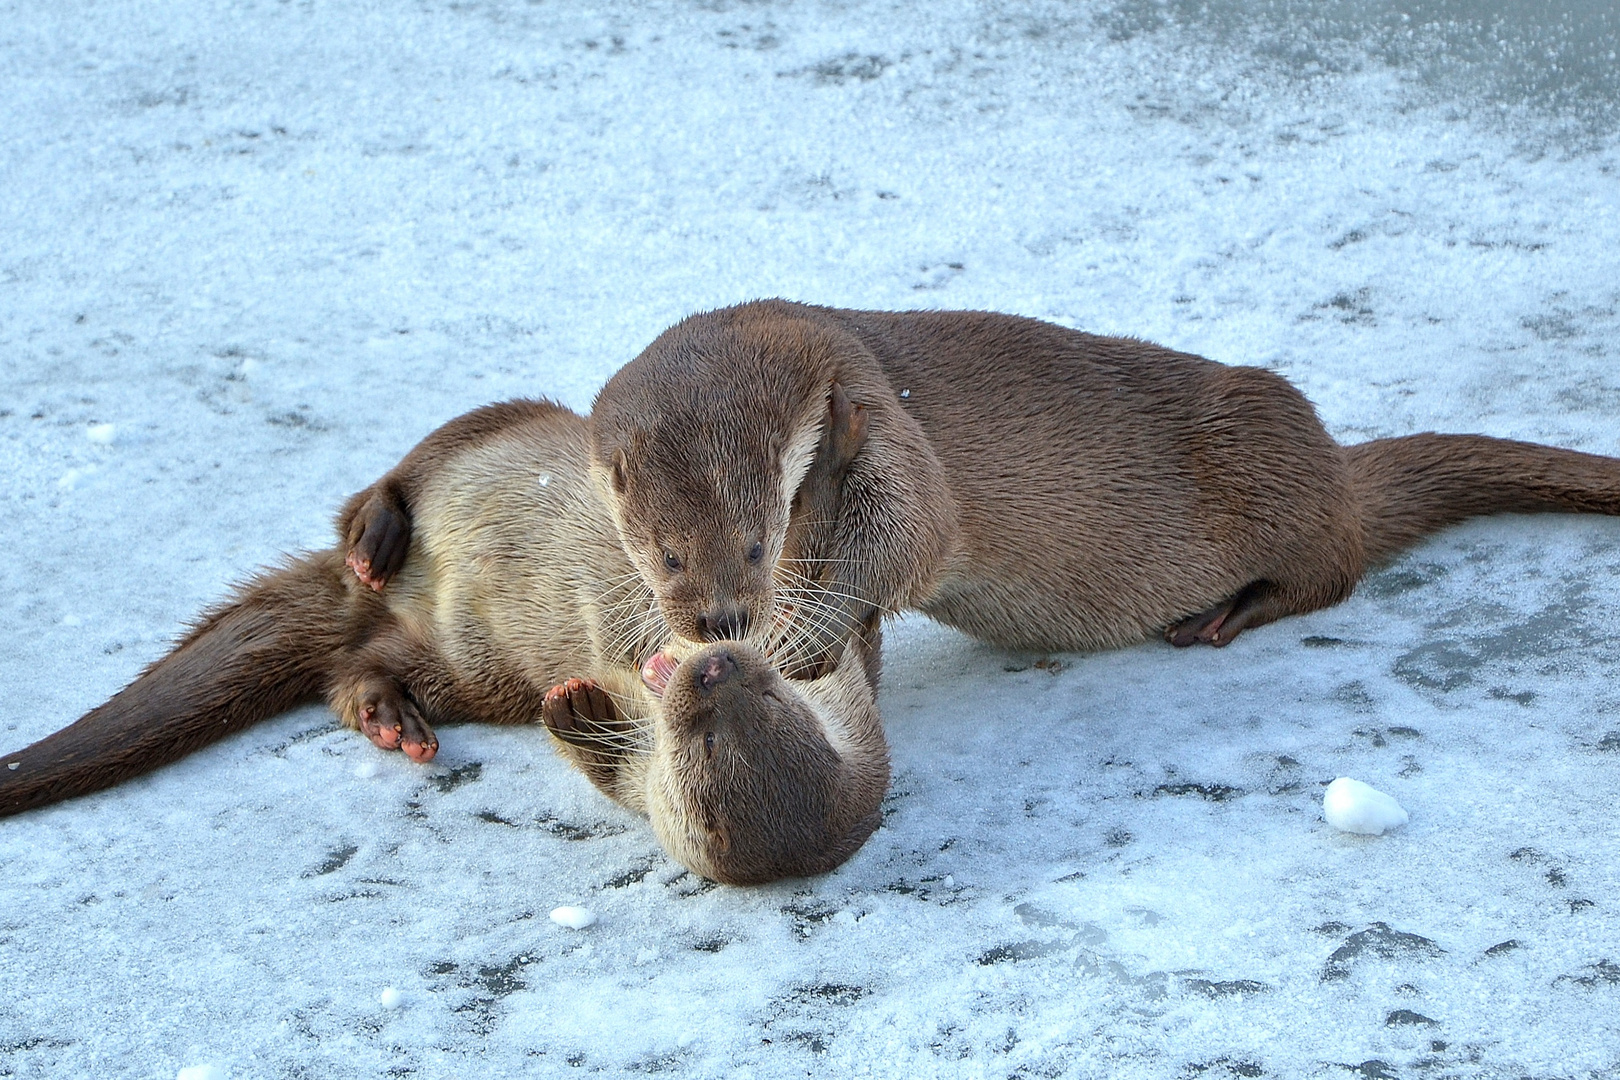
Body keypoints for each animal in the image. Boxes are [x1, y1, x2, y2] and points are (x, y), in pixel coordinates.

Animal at [3, 396, 887, 887]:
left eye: (701, 742)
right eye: (768, 689)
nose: (713, 665)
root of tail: (368, 595)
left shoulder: (647, 777)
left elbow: (611, 768)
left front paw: (573, 708)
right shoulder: (839, 655)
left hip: (466, 670)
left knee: (357, 671)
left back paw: (392, 719)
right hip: (502, 426)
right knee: (393, 478)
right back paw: (377, 531)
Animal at [589, 299, 1620, 663]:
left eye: (756, 543)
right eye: (667, 554)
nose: (720, 620)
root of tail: (1331, 461)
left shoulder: (876, 407)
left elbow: (913, 537)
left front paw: (801, 636)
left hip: (1268, 443)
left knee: (1332, 571)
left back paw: (1221, 616)